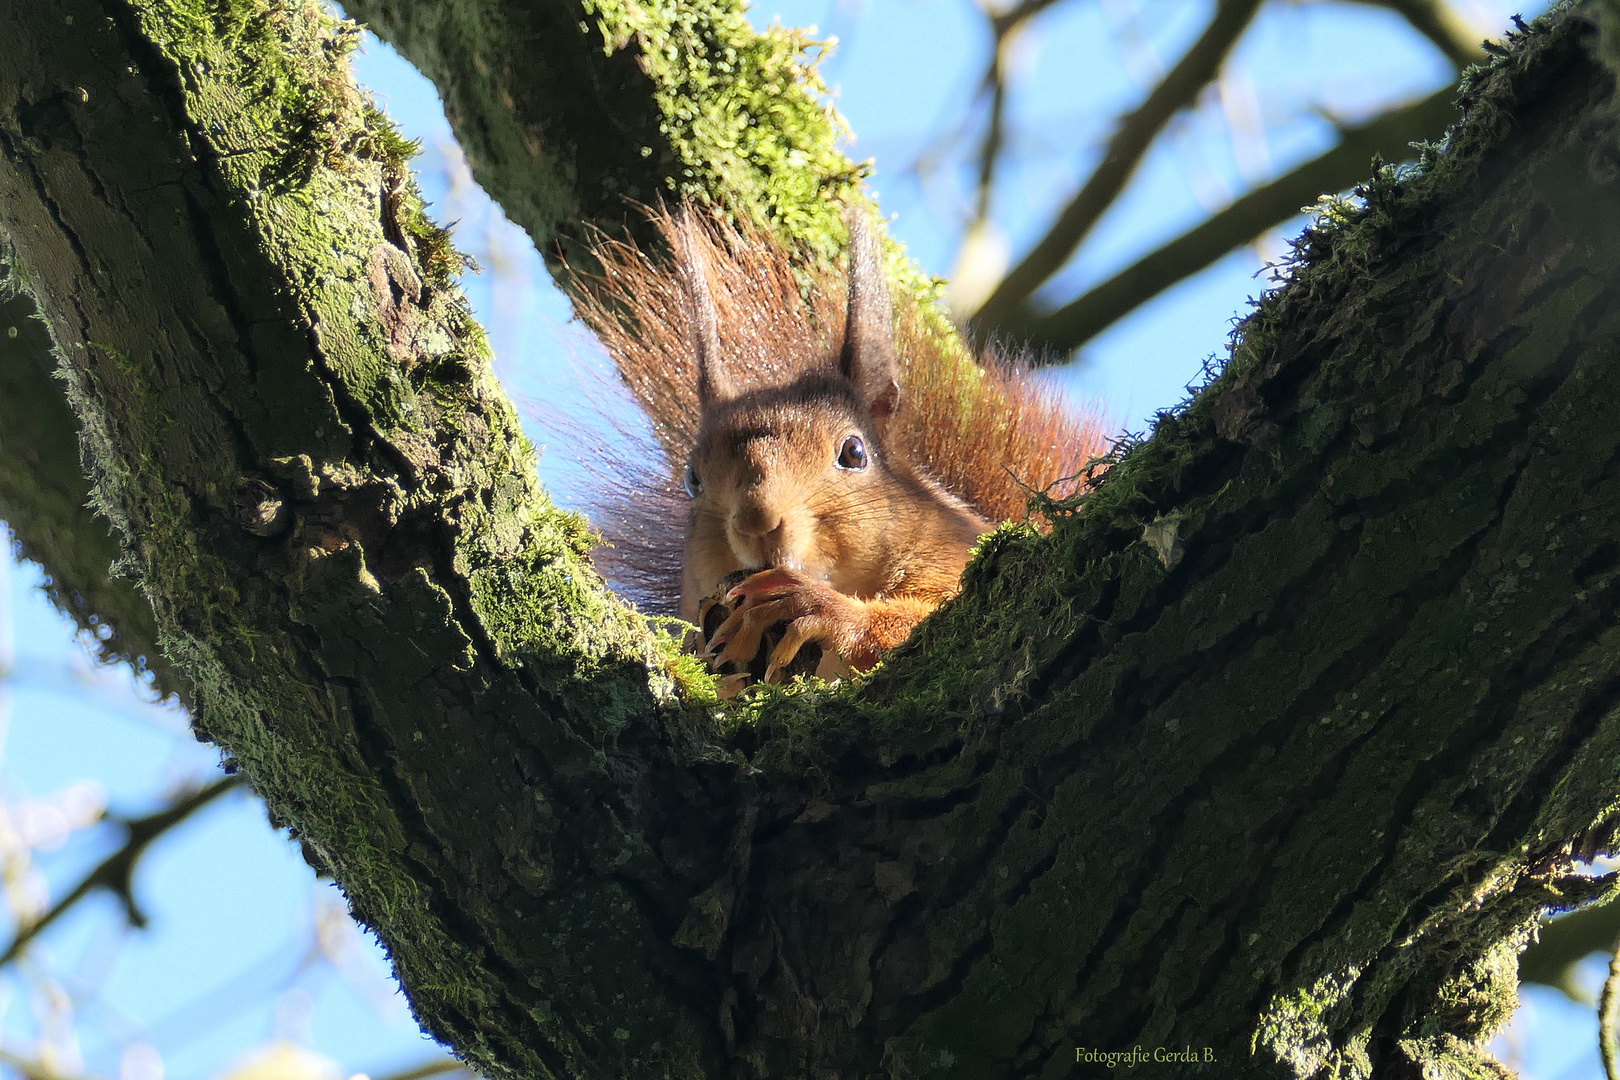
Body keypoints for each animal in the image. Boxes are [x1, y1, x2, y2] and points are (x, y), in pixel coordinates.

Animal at [570, 207, 1114, 689]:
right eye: (691, 479)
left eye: (854, 452)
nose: (757, 521)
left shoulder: (960, 562)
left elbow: (925, 617)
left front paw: (821, 610)